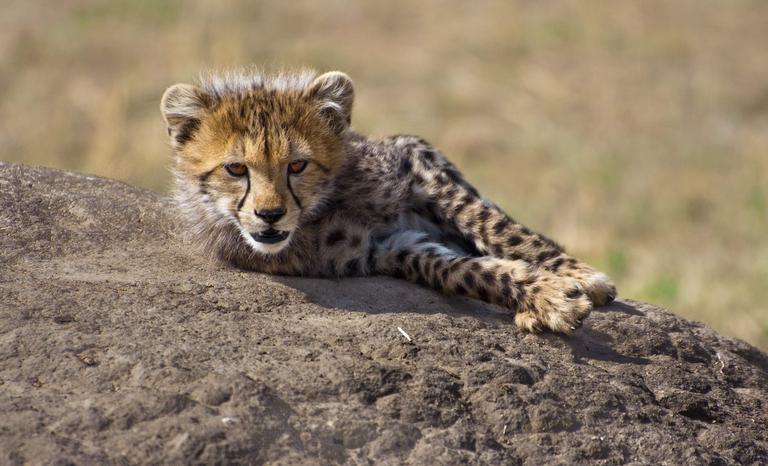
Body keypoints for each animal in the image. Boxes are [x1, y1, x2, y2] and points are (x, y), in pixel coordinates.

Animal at [160, 68, 616, 334]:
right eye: (236, 169)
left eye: (298, 165)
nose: (269, 215)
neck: (326, 205)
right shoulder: (381, 250)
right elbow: (466, 270)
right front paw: (548, 297)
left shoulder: (417, 170)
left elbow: (498, 228)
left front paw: (580, 276)